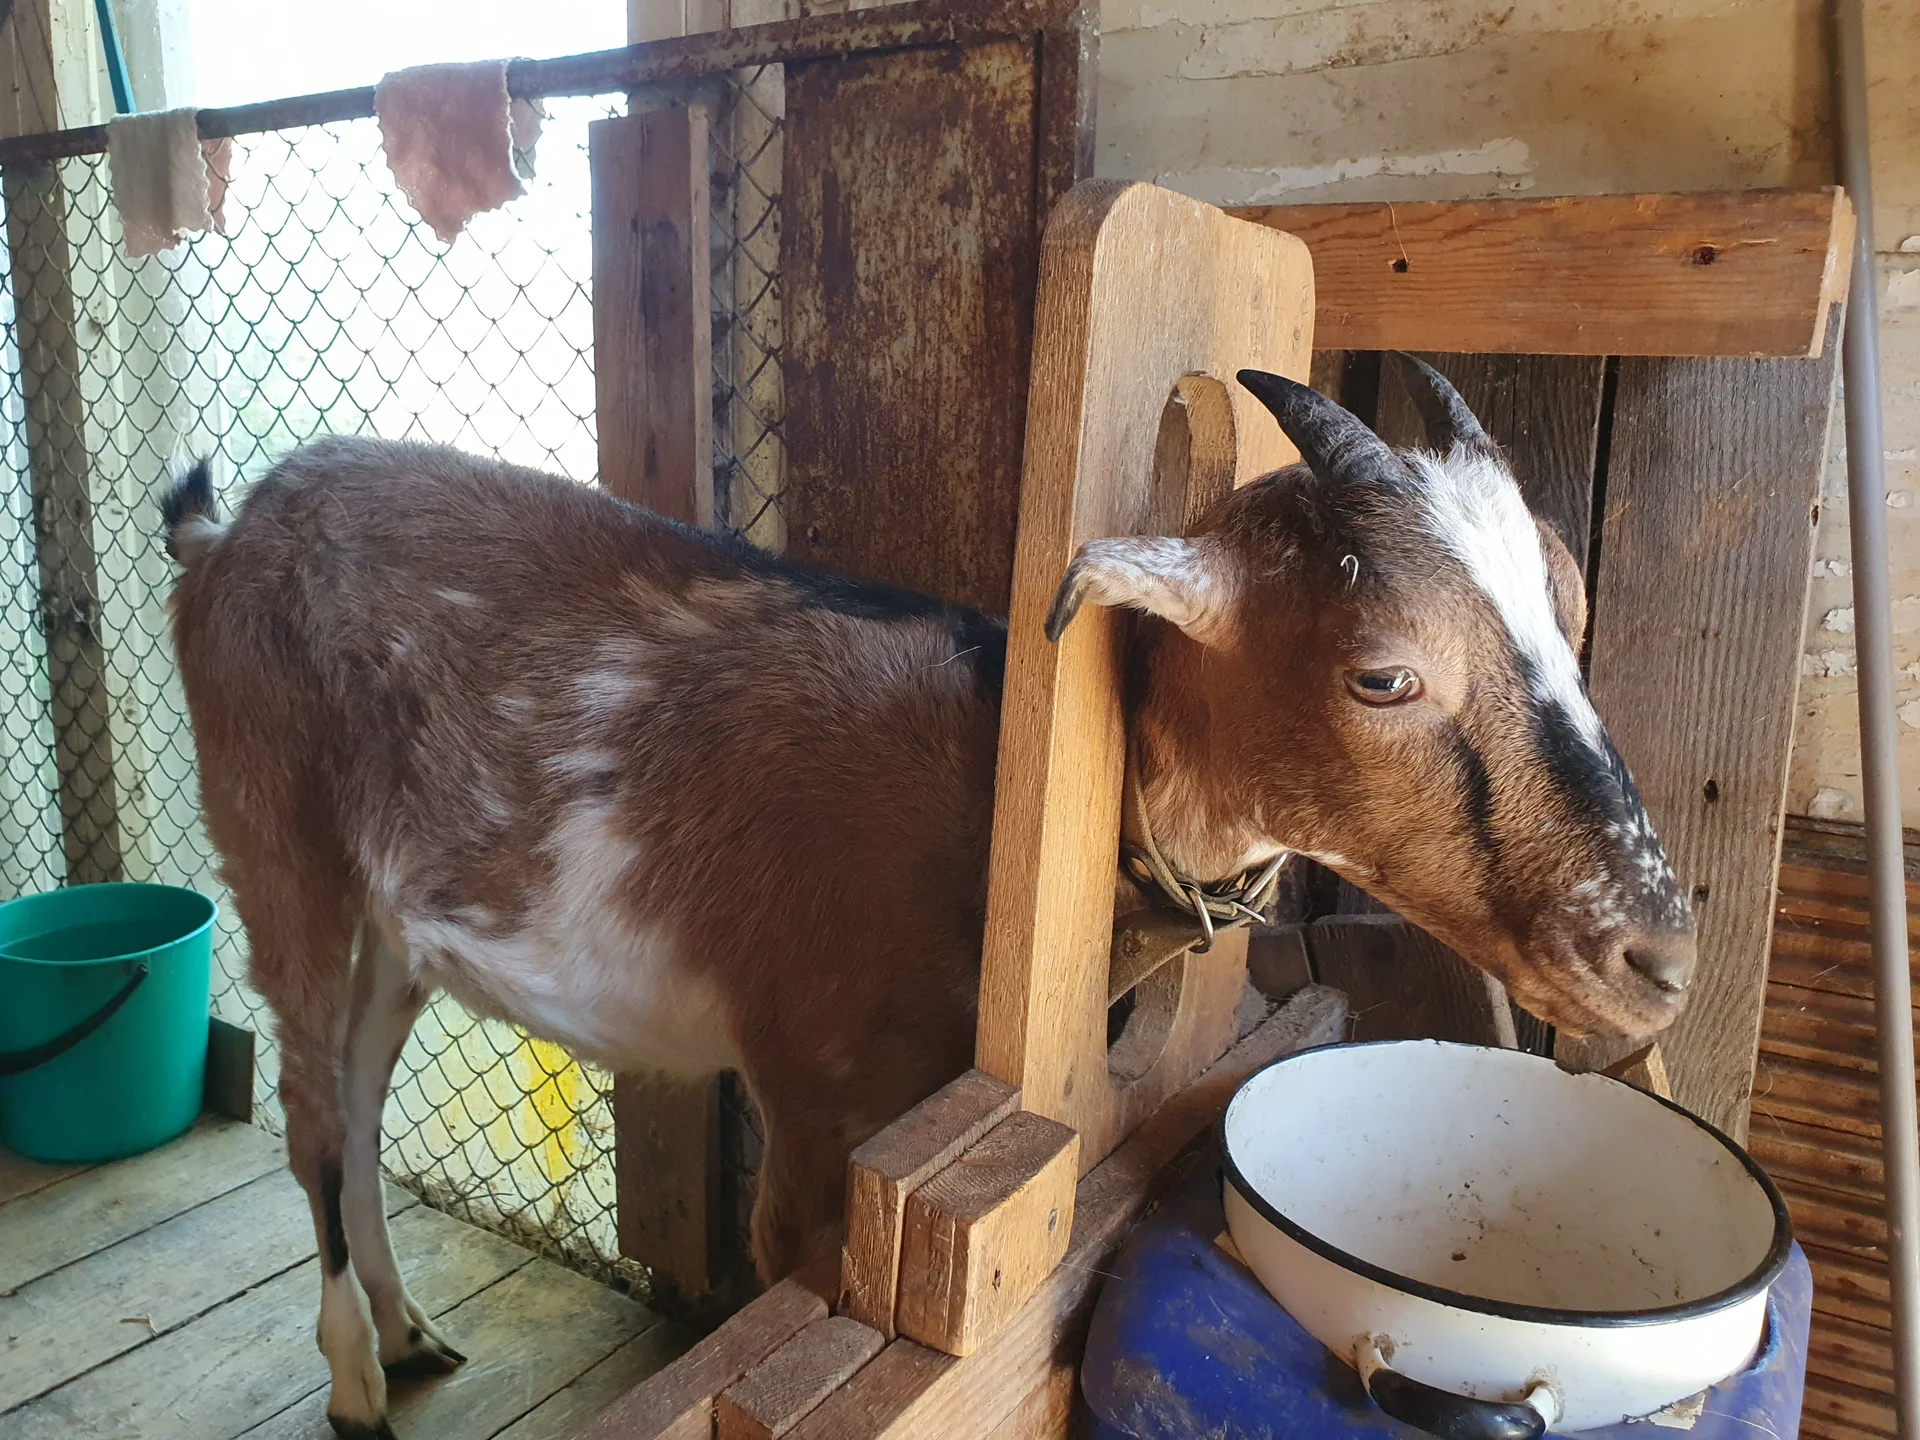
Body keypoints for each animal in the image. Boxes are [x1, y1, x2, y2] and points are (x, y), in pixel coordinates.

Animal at [163, 357, 1692, 1440]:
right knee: (309, 1100)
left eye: (1572, 605)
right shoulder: (820, 1106)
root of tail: (224, 530)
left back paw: (408, 1331)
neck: (989, 776)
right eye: (1382, 673)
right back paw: (357, 1384)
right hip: (272, 827)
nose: (1659, 955)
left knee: (358, 1087)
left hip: (398, 910)